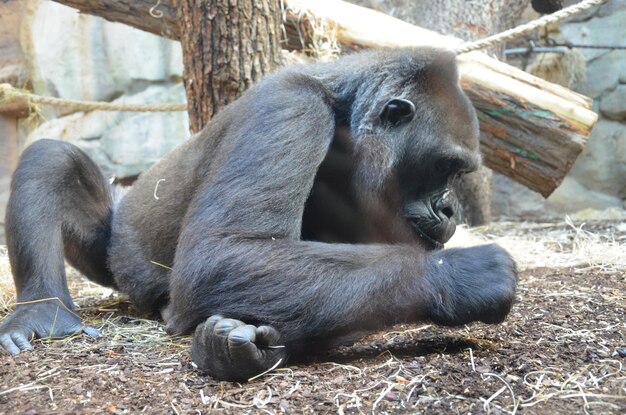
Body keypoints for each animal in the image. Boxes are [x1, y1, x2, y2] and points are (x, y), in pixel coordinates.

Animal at [1, 47, 516, 382]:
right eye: (445, 166)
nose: (448, 207)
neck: (346, 110)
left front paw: (237, 348)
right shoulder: (290, 108)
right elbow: (220, 256)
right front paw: (457, 274)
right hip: (114, 246)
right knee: (52, 158)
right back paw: (42, 313)